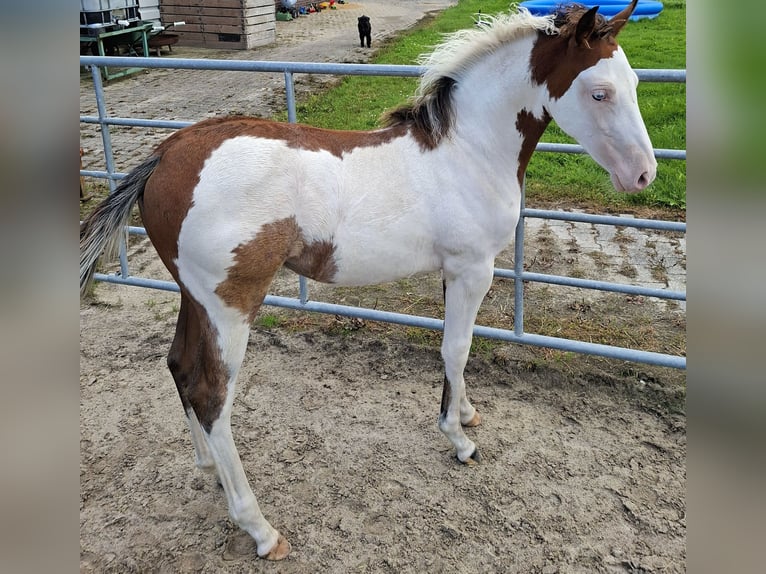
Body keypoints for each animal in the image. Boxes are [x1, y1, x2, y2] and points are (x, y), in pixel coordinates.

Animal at [80, 1, 655, 560]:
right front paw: (459, 441)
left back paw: (209, 469)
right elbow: (457, 348)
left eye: (634, 83)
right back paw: (260, 529)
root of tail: (165, 155)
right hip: (230, 305)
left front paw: (466, 414)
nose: (644, 175)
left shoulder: (453, 271)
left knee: (178, 365)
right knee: (211, 395)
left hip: (192, 297)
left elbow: (456, 350)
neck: (465, 150)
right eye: (599, 92)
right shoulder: (472, 268)